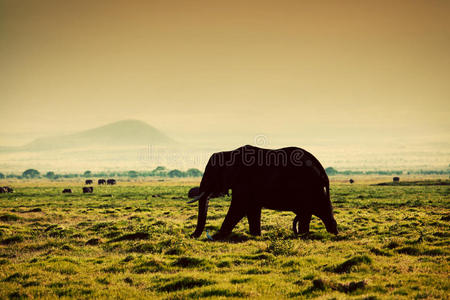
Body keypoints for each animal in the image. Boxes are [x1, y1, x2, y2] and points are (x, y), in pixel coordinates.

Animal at [188, 145, 340, 239]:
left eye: (210, 175)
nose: (190, 236)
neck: (229, 152)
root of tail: (322, 170)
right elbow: (251, 208)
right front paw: (256, 235)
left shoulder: (244, 180)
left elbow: (239, 207)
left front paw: (217, 236)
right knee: (312, 212)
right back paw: (307, 234)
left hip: (311, 187)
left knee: (318, 211)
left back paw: (330, 234)